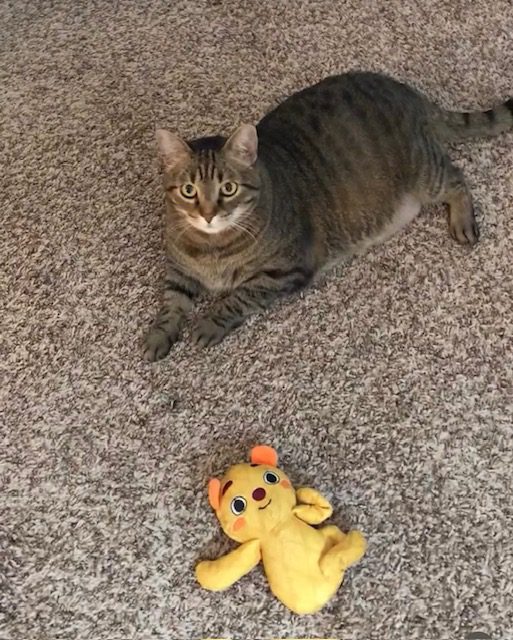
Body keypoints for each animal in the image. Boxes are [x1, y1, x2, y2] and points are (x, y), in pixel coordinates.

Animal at [143, 71, 513, 361]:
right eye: (188, 191)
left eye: (229, 188)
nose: (208, 215)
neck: (213, 247)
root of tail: (408, 92)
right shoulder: (178, 269)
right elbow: (171, 302)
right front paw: (159, 335)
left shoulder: (282, 271)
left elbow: (237, 298)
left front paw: (208, 323)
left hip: (426, 175)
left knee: (457, 179)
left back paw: (463, 222)